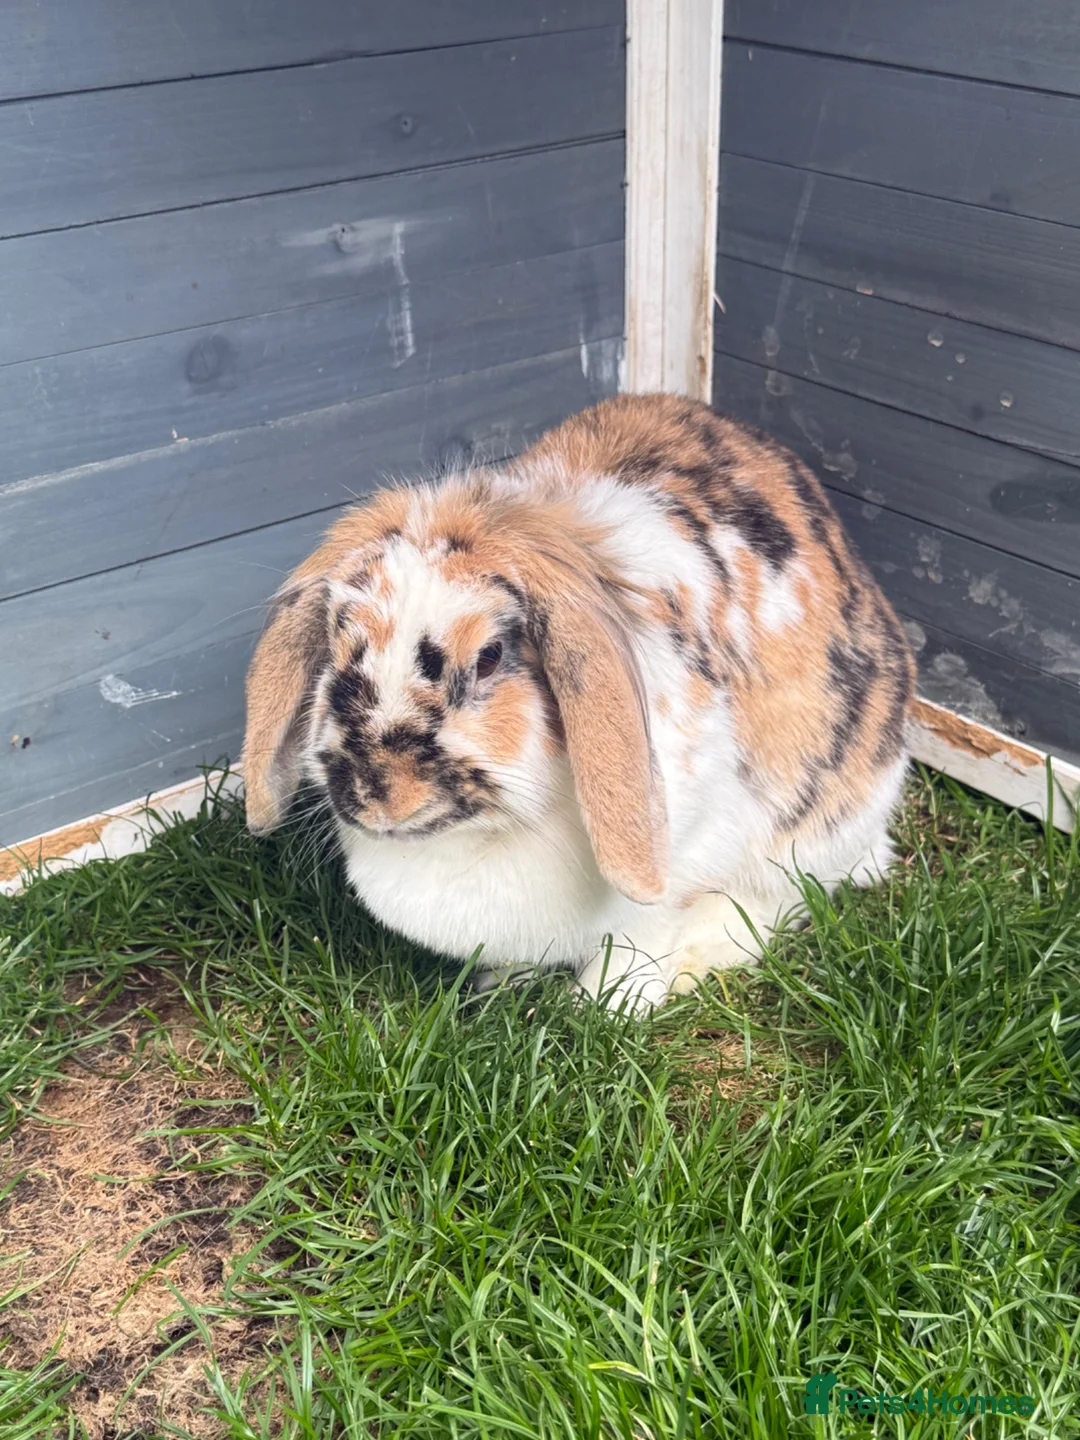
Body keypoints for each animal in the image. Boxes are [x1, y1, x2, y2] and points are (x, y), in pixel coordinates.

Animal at [242, 393, 914, 1011]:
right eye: (337, 642)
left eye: (489, 656)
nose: (378, 793)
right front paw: (502, 982)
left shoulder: (682, 859)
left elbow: (642, 938)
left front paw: (606, 1007)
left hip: (822, 820)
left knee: (788, 896)